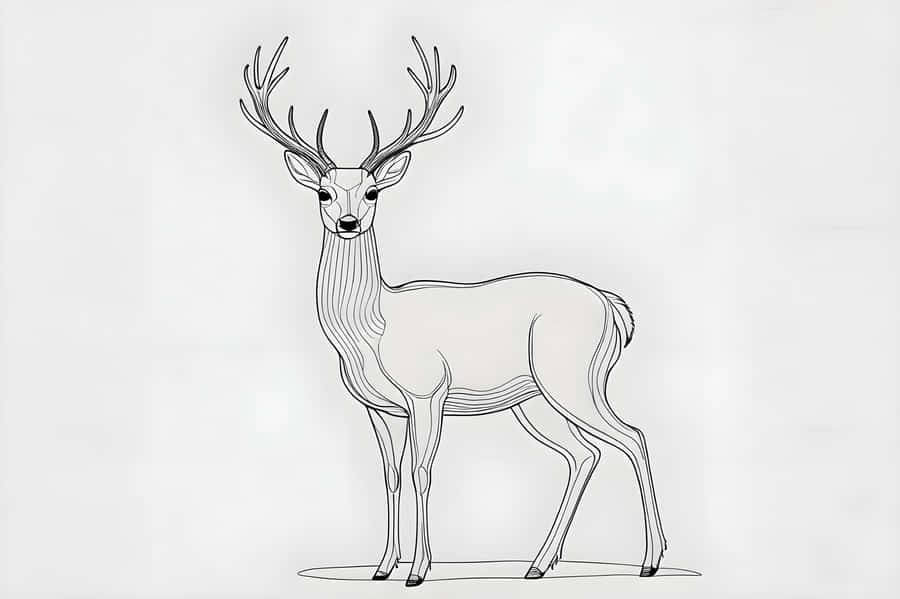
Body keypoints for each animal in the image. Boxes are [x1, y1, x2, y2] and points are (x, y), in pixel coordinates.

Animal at [239, 36, 667, 587]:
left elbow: (422, 471)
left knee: (632, 437)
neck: (372, 330)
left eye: (372, 191)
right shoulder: (379, 407)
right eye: (323, 192)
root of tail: (614, 307)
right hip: (533, 399)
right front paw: (382, 567)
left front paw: (418, 571)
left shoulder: (427, 391)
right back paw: (538, 564)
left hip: (573, 376)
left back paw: (650, 561)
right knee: (584, 453)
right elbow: (391, 476)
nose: (349, 221)